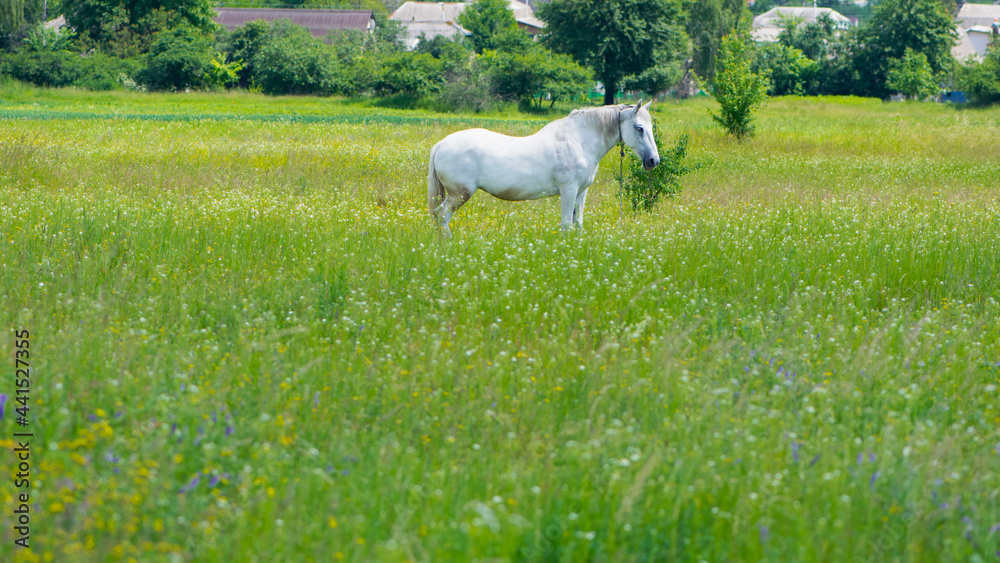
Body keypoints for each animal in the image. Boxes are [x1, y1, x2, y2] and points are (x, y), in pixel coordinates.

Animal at [427, 100, 660, 236]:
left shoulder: (581, 191)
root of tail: (441, 144)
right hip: (460, 194)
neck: (578, 141)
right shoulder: (568, 190)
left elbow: (578, 223)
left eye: (650, 127)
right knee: (442, 215)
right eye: (639, 128)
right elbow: (566, 224)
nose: (653, 161)